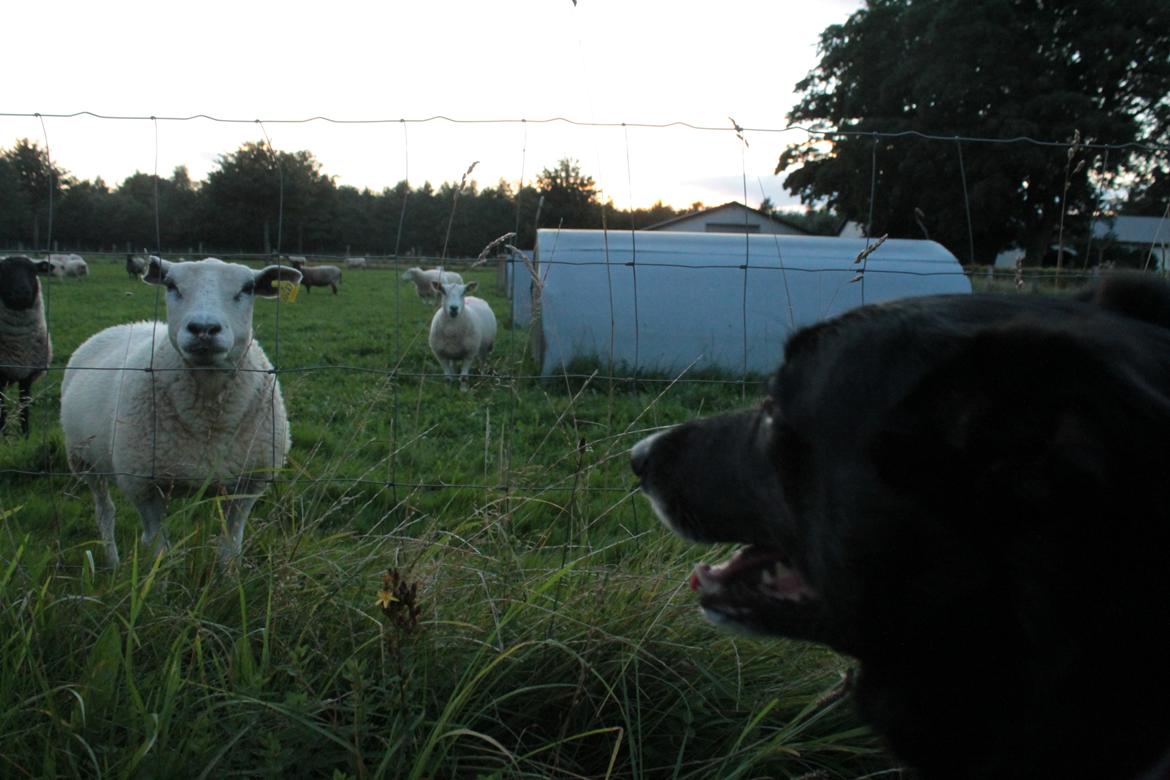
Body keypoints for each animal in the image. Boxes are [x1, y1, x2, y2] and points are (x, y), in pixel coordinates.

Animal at [0, 257, 53, 437]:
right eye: (4, 270)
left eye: (33, 271)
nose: (23, 291)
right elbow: (2, 410)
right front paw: (3, 436)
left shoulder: (27, 375)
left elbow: (25, 407)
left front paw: (25, 436)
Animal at [60, 256, 301, 568]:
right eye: (172, 285)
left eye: (247, 288)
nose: (204, 329)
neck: (208, 419)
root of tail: (129, 324)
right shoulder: (145, 487)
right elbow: (158, 550)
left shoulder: (247, 484)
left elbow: (230, 548)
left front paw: (228, 579)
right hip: (85, 461)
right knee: (105, 513)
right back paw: (112, 563)